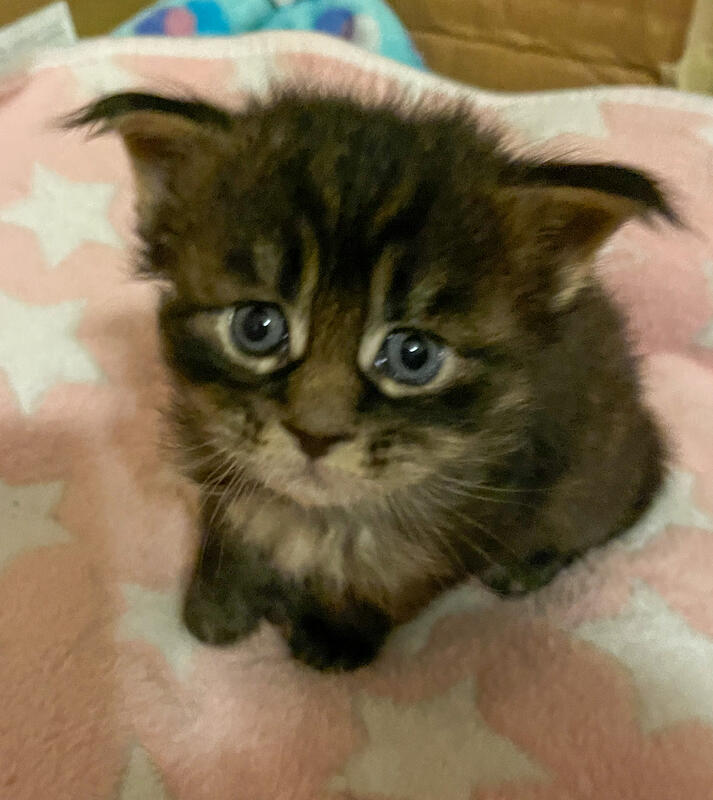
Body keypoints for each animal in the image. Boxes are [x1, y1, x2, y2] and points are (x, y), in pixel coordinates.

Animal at [67, 90, 673, 670]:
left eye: (413, 355)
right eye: (256, 326)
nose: (315, 435)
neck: (320, 516)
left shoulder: (469, 526)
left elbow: (396, 585)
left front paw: (338, 633)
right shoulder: (222, 453)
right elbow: (230, 527)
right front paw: (218, 603)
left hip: (597, 479)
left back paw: (529, 565)